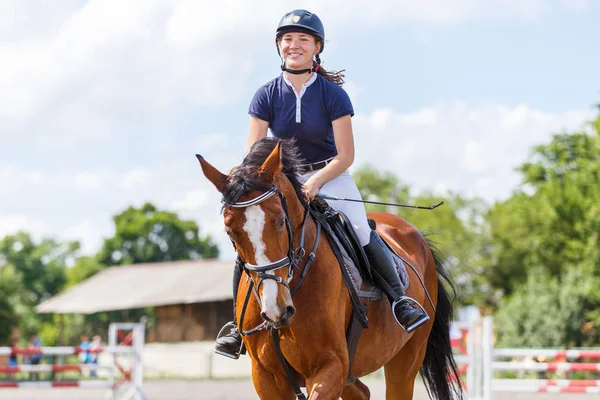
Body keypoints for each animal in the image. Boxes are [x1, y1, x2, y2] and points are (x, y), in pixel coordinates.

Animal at [199, 138, 462, 400]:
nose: (276, 309)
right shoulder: (265, 376)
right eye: (230, 231)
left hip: (406, 360)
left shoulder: (331, 366)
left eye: (281, 221)